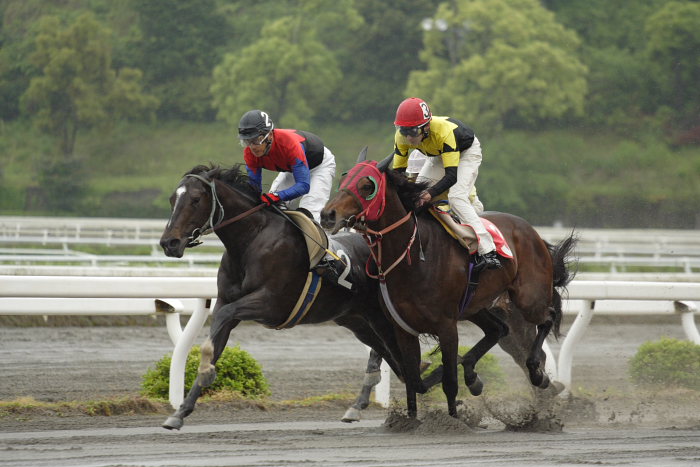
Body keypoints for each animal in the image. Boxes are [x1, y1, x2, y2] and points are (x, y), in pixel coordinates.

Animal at [156, 165, 402, 432]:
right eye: (171, 199)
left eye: (195, 199)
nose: (169, 243)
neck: (251, 240)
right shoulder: (227, 301)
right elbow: (217, 337)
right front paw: (180, 412)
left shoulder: (271, 304)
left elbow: (223, 317)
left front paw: (206, 371)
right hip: (355, 319)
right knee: (380, 347)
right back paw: (360, 403)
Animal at [320, 154, 576, 420]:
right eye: (344, 179)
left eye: (366, 186)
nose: (328, 215)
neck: (414, 256)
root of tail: (531, 231)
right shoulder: (403, 328)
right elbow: (413, 380)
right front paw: (411, 420)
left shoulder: (446, 326)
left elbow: (449, 382)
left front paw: (453, 420)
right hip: (476, 307)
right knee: (498, 329)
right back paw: (475, 378)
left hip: (528, 298)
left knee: (547, 318)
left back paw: (537, 375)